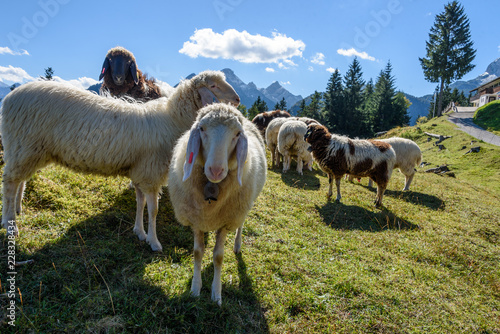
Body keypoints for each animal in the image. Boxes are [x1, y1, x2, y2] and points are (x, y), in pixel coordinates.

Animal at [1, 70, 240, 250]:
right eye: (214, 86)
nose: (237, 99)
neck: (172, 119)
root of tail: (9, 99)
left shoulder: (140, 170)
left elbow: (140, 202)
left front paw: (139, 232)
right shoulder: (150, 172)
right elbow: (153, 209)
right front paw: (154, 241)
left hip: (28, 150)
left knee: (19, 180)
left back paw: (17, 210)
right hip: (24, 146)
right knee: (10, 183)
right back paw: (10, 224)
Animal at [168, 102, 268, 306]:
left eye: (237, 134)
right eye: (202, 129)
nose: (215, 170)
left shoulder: (226, 223)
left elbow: (218, 257)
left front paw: (216, 293)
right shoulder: (196, 220)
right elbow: (198, 252)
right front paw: (195, 288)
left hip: (244, 208)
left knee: (241, 225)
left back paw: (237, 245)